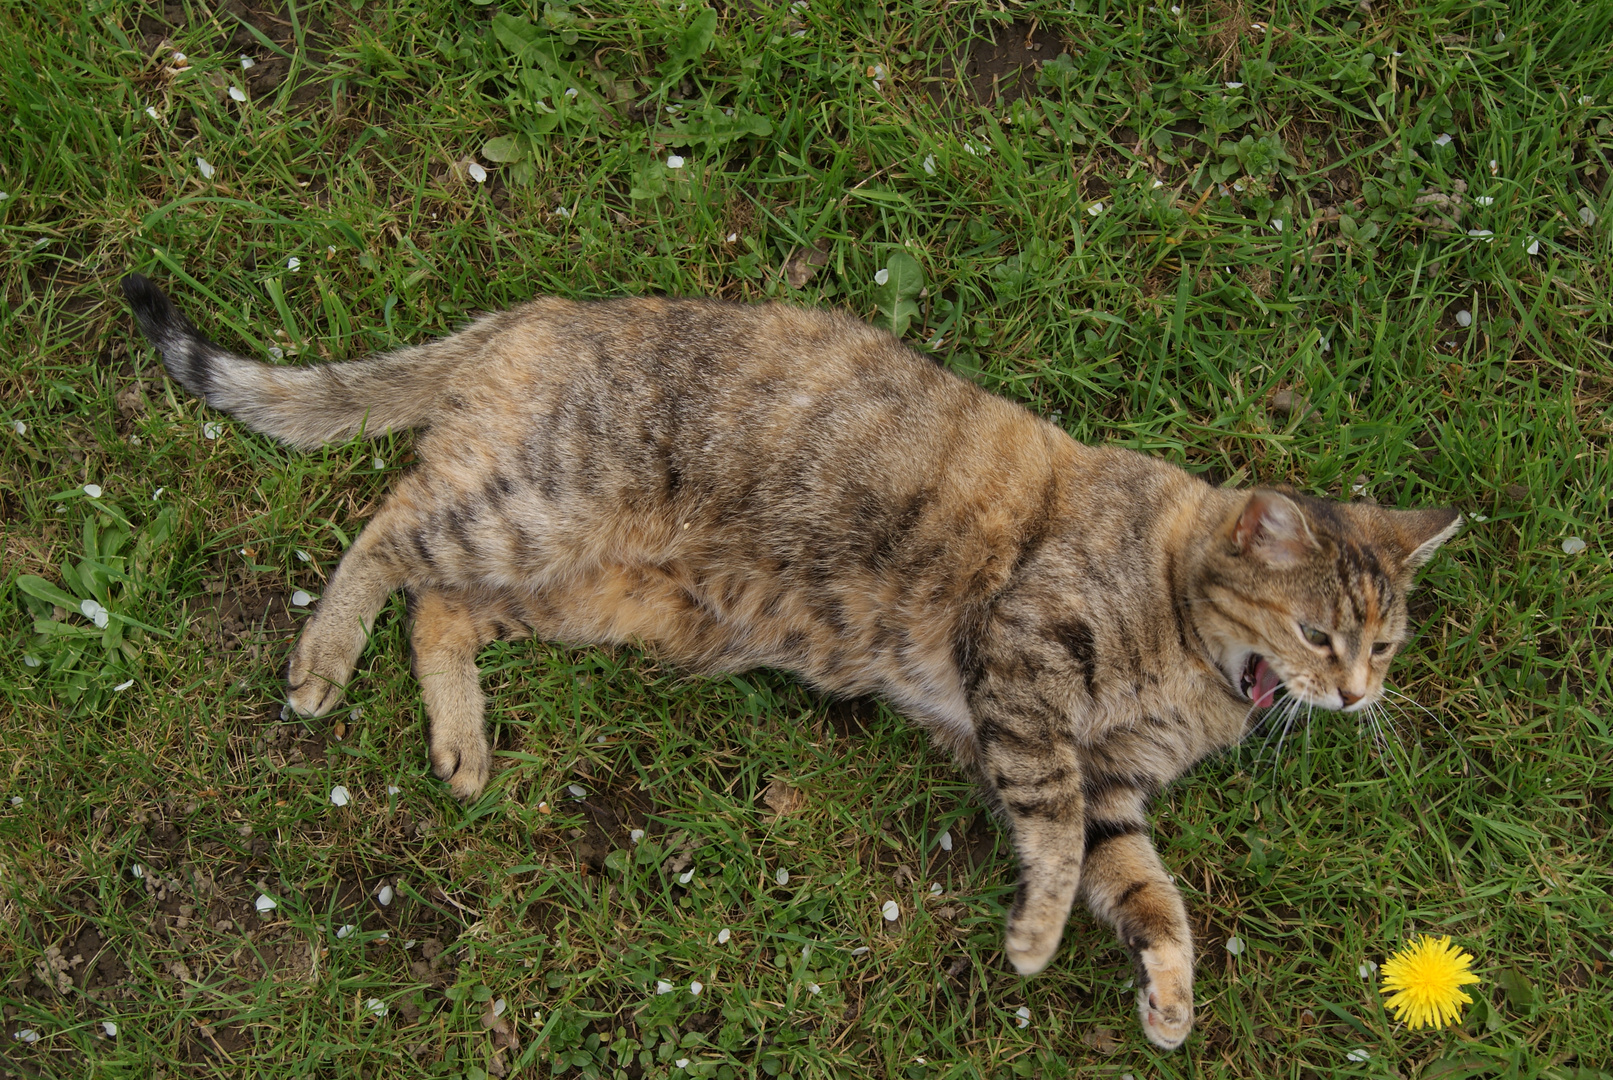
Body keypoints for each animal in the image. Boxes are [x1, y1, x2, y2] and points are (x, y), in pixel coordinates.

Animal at [122, 275, 1464, 1050]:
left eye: (1383, 641)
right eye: (1316, 634)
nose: (1357, 694)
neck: (1187, 681)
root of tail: (542, 313)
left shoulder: (1115, 788)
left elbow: (1142, 890)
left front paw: (1168, 996)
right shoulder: (1023, 671)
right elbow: (1048, 835)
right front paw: (1034, 937)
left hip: (592, 595)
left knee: (439, 610)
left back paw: (462, 742)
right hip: (531, 513)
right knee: (389, 531)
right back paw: (321, 656)